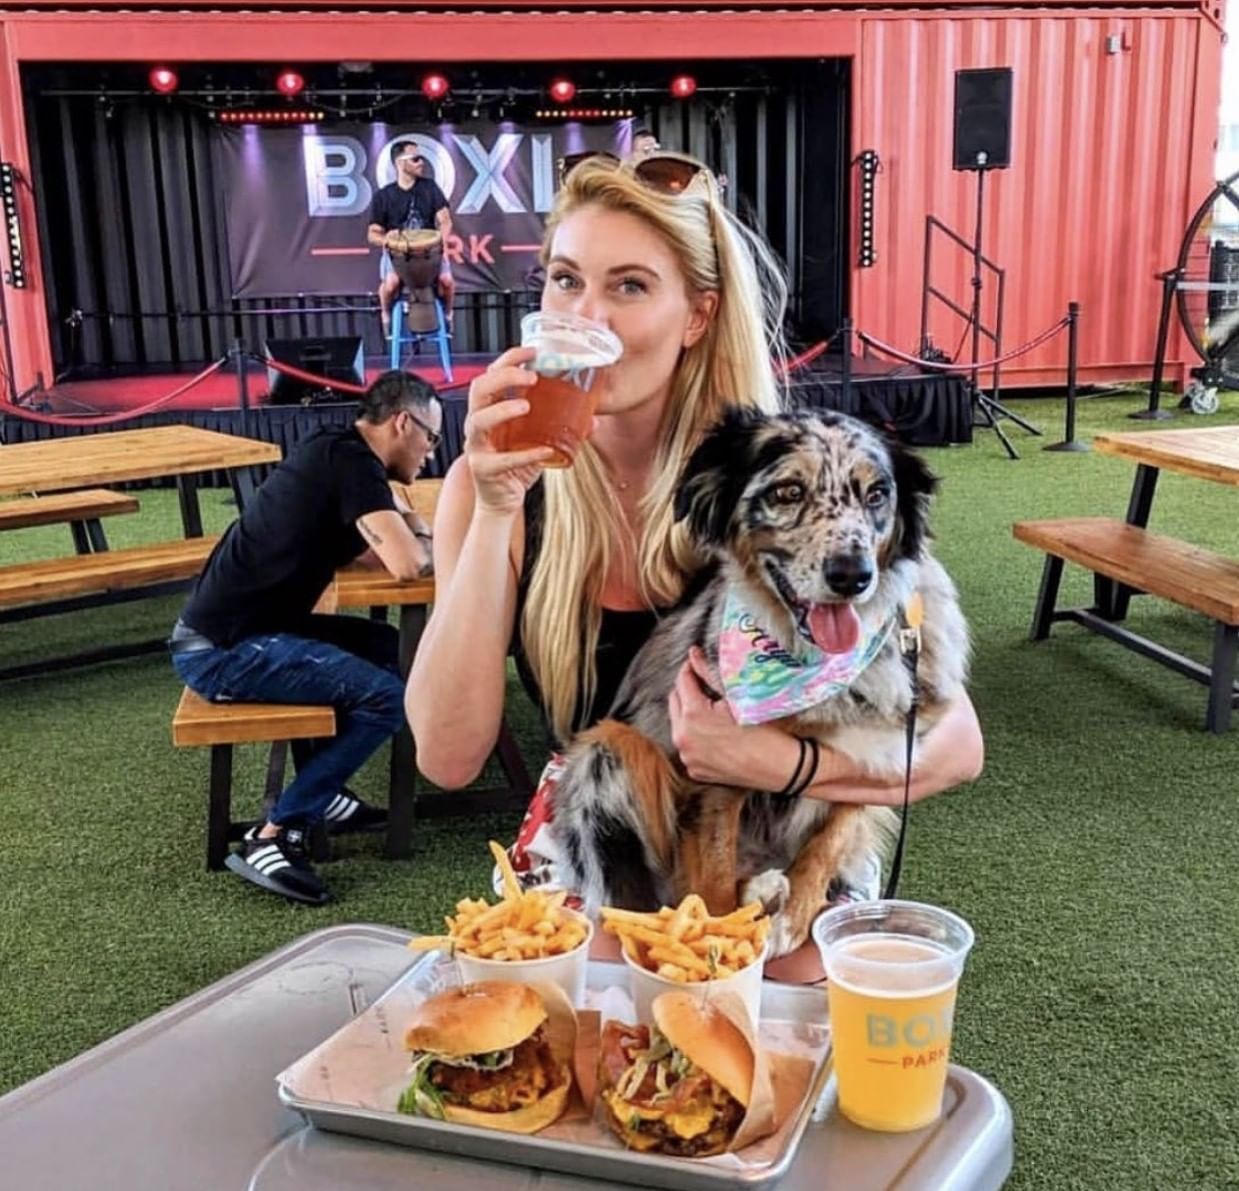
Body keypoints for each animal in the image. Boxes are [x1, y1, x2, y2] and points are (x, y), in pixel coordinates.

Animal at [550, 408, 966, 956]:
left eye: (877, 494)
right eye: (788, 491)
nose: (852, 575)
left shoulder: (882, 751)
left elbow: (832, 836)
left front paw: (794, 917)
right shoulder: (714, 770)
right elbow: (712, 874)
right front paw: (723, 938)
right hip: (606, 750)